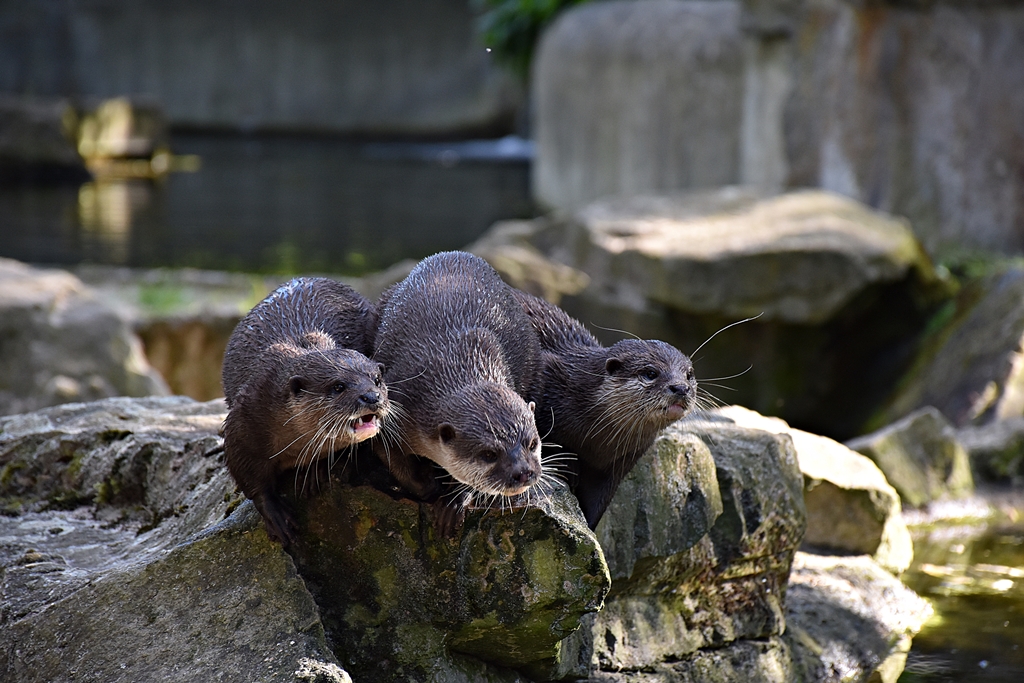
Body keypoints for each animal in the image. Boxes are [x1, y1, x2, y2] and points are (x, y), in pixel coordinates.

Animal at [222, 277, 388, 545]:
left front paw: (313, 471)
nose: (372, 397)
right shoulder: (242, 423)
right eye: (338, 386)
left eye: (377, 379)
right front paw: (276, 515)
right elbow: (248, 477)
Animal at [373, 252, 543, 530]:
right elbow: (396, 463)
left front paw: (453, 501)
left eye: (533, 443)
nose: (524, 472)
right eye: (489, 454)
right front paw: (428, 486)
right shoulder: (392, 414)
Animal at [512, 289, 696, 529]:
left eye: (689, 374)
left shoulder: (615, 467)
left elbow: (596, 504)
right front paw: (569, 467)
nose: (681, 388)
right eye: (650, 373)